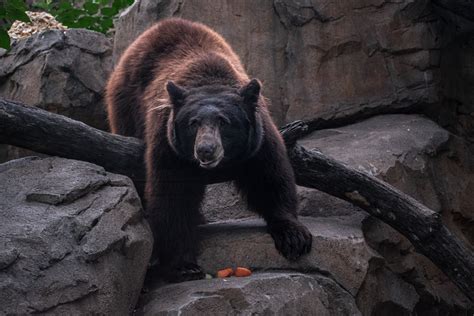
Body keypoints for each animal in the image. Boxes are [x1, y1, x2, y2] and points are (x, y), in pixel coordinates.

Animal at [105, 17, 312, 282]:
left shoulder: (259, 138)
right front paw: (182, 264)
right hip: (126, 106)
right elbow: (173, 196)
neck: (208, 78)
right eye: (193, 123)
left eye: (224, 122)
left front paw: (293, 237)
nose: (205, 150)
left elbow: (271, 177)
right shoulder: (170, 145)